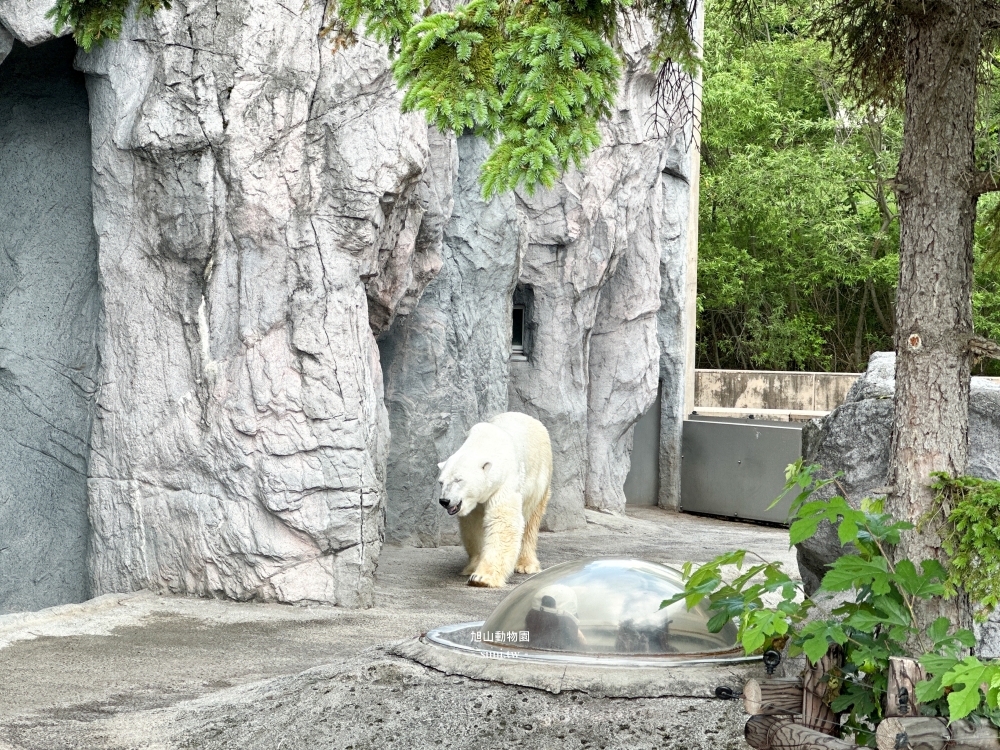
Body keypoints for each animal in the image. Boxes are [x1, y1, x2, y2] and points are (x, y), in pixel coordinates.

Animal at [437, 412, 552, 588]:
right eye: (441, 482)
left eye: (459, 480)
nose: (444, 501)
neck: (484, 442)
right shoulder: (476, 502)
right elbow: (474, 526)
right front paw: (473, 566)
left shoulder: (505, 482)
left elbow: (502, 521)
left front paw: (481, 578)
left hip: (540, 474)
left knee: (531, 519)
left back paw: (525, 564)